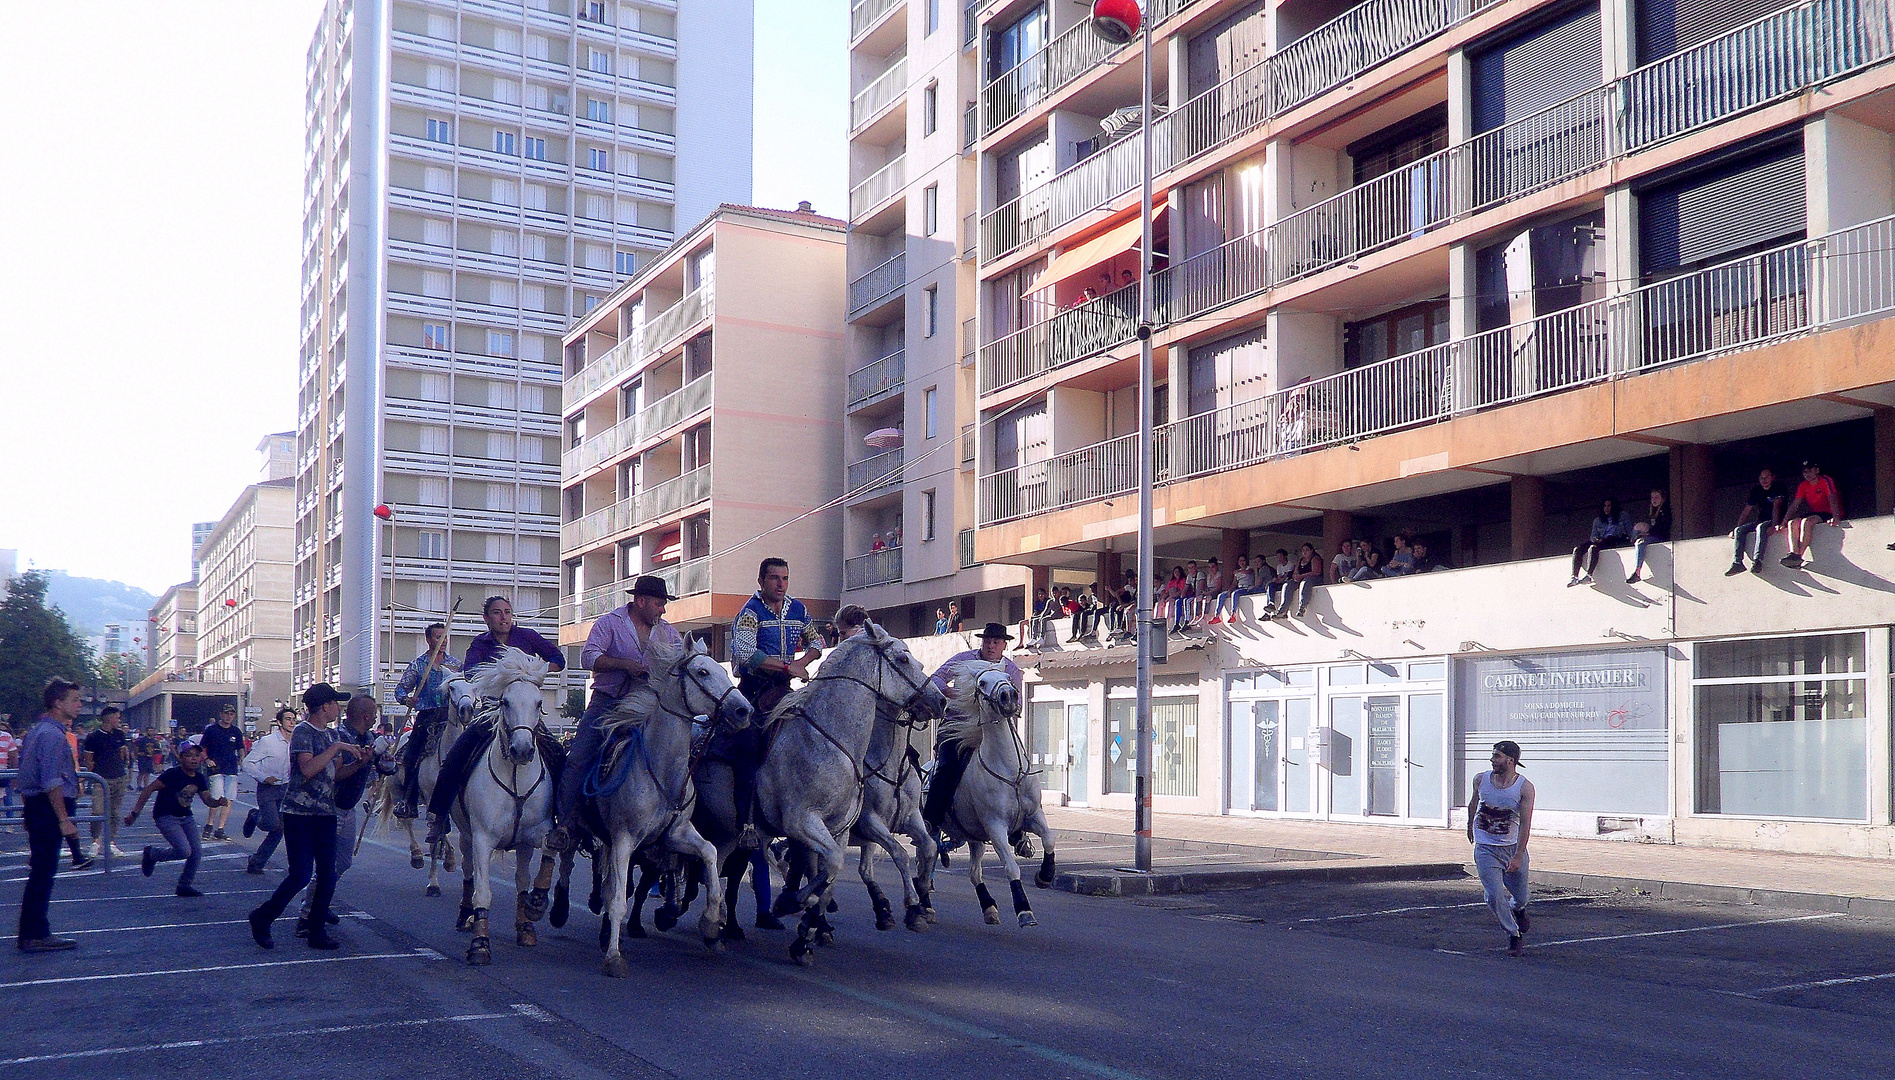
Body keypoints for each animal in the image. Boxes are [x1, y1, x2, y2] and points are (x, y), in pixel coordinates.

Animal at [449, 644, 557, 962]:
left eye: (538, 702)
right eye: (505, 701)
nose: (522, 750)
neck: (516, 778)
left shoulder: (536, 833)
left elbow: (549, 852)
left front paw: (536, 906)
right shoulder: (482, 838)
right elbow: (483, 891)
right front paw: (480, 944)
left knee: (521, 879)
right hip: (465, 835)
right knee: (468, 871)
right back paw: (466, 916)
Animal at [939, 663, 1061, 924]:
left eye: (1007, 677)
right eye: (982, 683)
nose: (1009, 696)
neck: (1010, 771)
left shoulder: (1033, 815)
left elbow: (1049, 838)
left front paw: (1045, 876)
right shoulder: (995, 826)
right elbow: (1011, 867)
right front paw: (1024, 910)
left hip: (974, 838)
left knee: (974, 873)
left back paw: (989, 908)